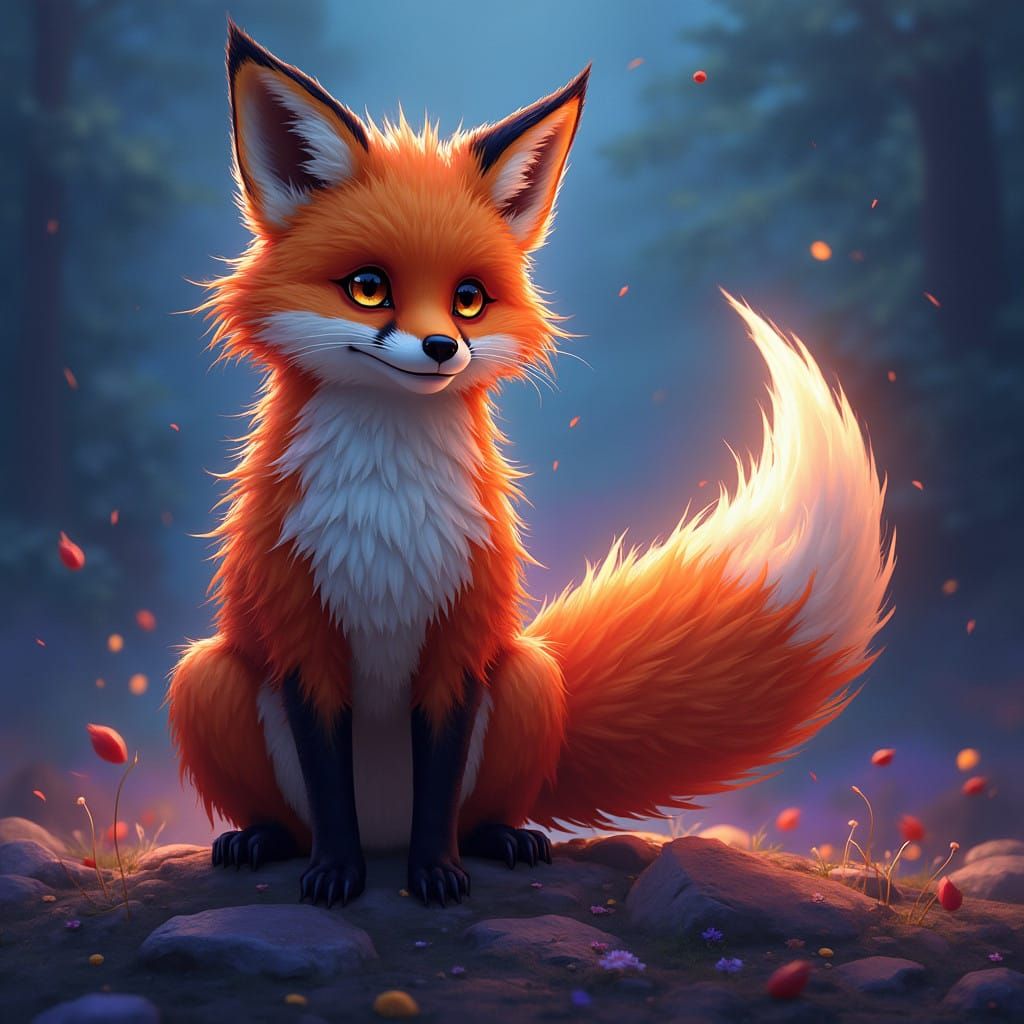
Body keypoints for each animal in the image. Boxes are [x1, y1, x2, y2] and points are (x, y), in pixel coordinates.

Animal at [168, 22, 894, 909]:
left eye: (469, 299)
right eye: (369, 288)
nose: (442, 347)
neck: (386, 515)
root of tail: (385, 829)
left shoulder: (461, 641)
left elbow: (440, 782)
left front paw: (437, 874)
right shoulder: (302, 636)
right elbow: (330, 789)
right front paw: (336, 875)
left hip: (528, 677)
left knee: (480, 804)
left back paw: (501, 839)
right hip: (206, 678)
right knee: (293, 812)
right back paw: (261, 839)